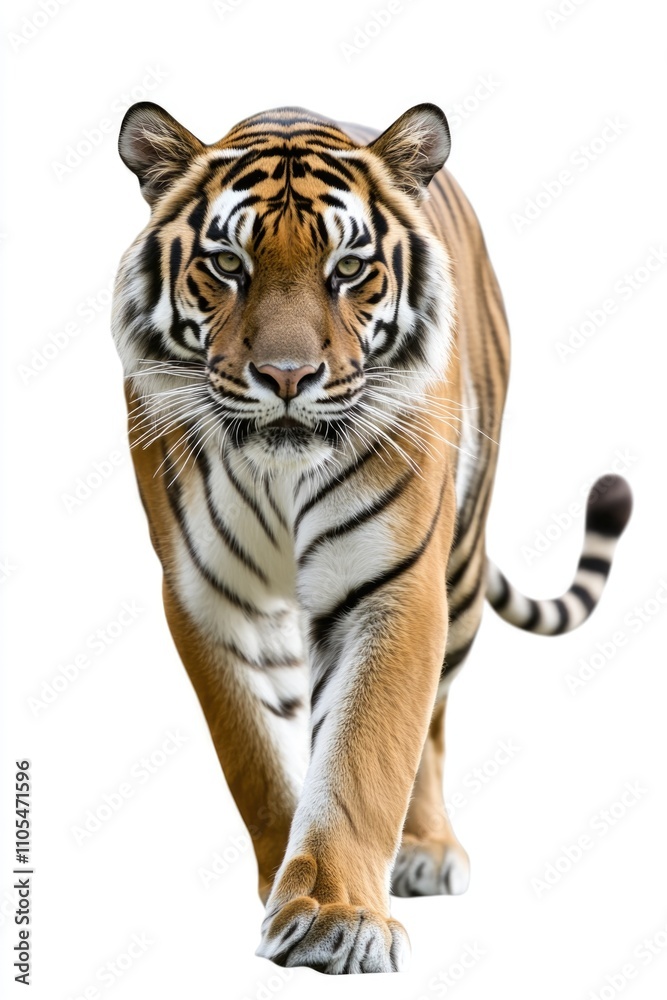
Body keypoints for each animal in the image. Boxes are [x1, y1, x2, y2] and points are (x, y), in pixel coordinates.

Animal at [111, 100, 632, 975]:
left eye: (349, 269)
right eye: (226, 264)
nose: (286, 377)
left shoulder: (388, 582)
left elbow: (367, 750)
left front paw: (335, 914)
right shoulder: (208, 594)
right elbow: (254, 754)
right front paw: (287, 881)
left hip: (459, 571)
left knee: (434, 722)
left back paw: (424, 850)